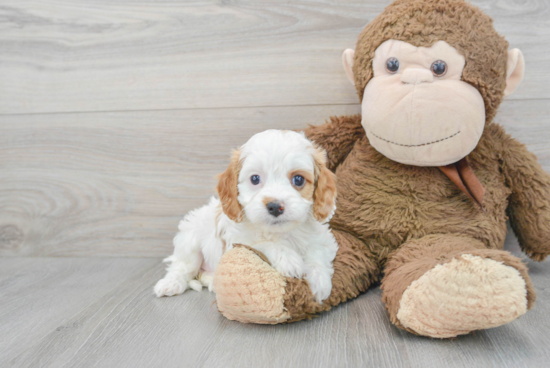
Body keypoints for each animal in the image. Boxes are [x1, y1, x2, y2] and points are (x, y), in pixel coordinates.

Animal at [153, 129, 338, 302]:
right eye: (255, 179)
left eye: (298, 179)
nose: (275, 206)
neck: (280, 233)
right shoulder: (238, 242)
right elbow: (264, 244)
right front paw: (288, 259)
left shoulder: (323, 239)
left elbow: (317, 251)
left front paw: (319, 281)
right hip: (189, 240)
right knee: (182, 267)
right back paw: (170, 284)